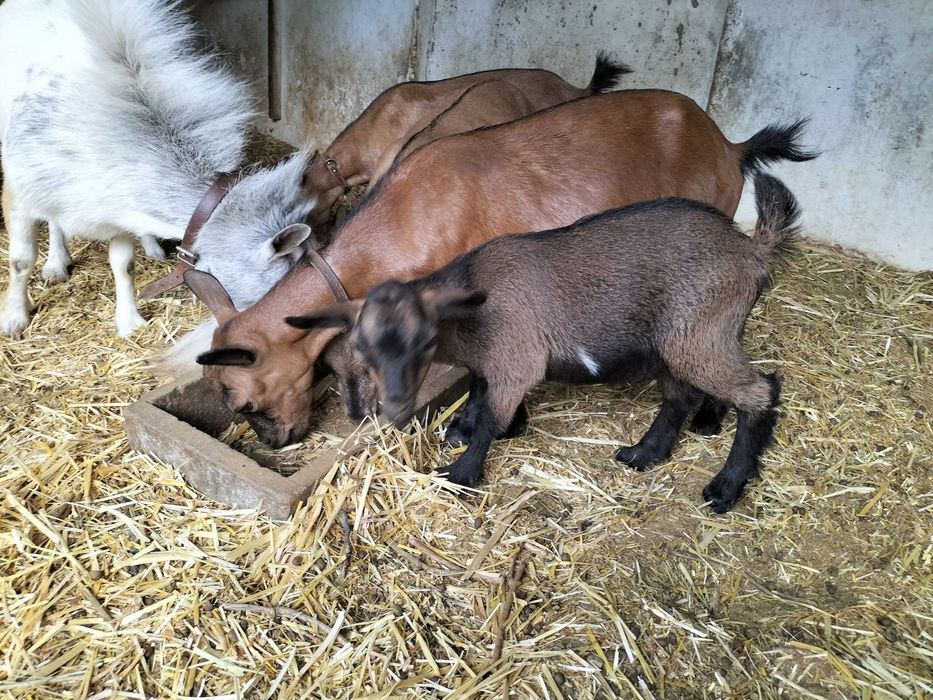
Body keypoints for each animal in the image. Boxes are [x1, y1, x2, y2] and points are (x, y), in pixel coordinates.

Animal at [0, 0, 318, 338]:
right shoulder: (17, 192)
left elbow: (124, 264)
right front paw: (14, 318)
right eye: (279, 285)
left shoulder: (117, 211)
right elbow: (21, 259)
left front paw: (129, 321)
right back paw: (56, 263)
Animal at [287, 173, 800, 513]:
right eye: (363, 350)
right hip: (678, 342)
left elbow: (491, 411)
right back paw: (647, 452)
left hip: (700, 333)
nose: (381, 408)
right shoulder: (497, 359)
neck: (472, 302)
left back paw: (724, 488)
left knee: (760, 391)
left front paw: (462, 473)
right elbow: (481, 391)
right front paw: (479, 429)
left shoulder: (517, 357)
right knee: (681, 396)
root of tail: (751, 251)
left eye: (421, 342)